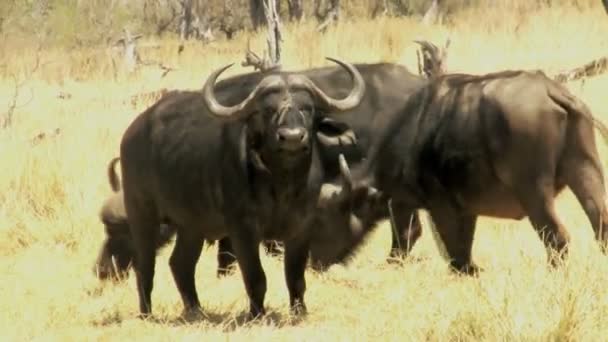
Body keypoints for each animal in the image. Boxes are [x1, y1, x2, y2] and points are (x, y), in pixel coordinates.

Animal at [119, 58, 366, 318]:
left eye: (307, 108)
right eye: (268, 110)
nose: (291, 137)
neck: (282, 184)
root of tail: (131, 134)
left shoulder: (302, 226)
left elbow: (296, 277)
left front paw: (299, 312)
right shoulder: (242, 229)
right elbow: (256, 277)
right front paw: (257, 313)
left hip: (192, 225)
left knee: (180, 264)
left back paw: (196, 309)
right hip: (141, 214)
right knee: (145, 265)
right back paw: (147, 312)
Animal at [324, 69, 608, 276]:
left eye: (328, 215)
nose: (318, 263)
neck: (410, 133)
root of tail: (552, 90)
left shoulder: (440, 207)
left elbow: (454, 254)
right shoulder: (465, 210)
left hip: (533, 191)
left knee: (557, 238)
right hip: (586, 169)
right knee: (600, 225)